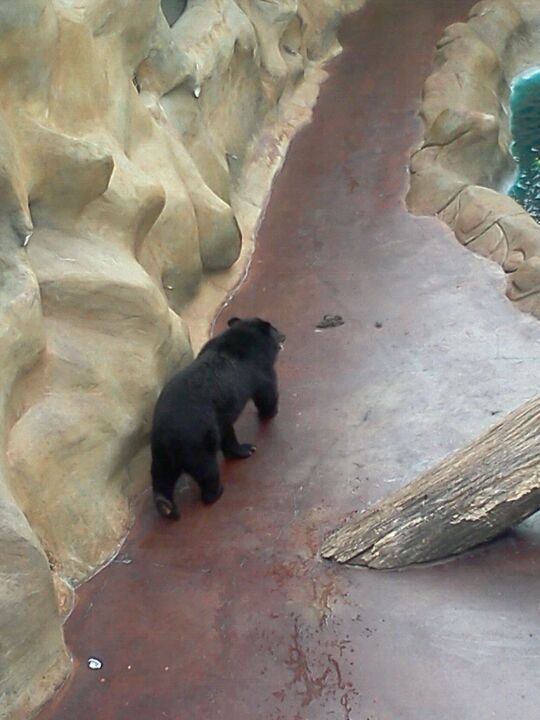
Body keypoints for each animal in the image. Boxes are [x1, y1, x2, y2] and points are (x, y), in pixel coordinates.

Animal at [150, 316, 284, 516]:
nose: (284, 336)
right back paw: (216, 492)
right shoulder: (258, 369)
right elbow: (266, 390)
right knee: (206, 469)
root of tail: (168, 436)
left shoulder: (222, 414)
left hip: (162, 450)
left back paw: (164, 505)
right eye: (275, 330)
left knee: (162, 474)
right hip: (196, 442)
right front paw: (271, 412)